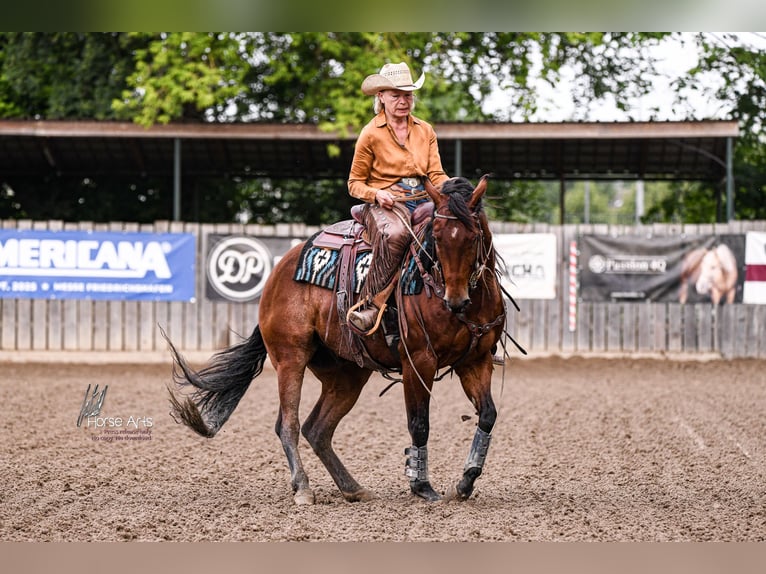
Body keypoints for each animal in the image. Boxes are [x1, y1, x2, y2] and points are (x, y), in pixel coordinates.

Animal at [164, 176, 512, 505]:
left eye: (474, 236)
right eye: (435, 238)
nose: (455, 300)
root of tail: (279, 272)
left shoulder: (476, 361)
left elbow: (488, 415)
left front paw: (465, 482)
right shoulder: (418, 361)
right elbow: (419, 423)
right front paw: (422, 487)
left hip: (347, 373)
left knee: (317, 429)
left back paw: (353, 488)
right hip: (291, 358)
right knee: (288, 424)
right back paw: (303, 488)